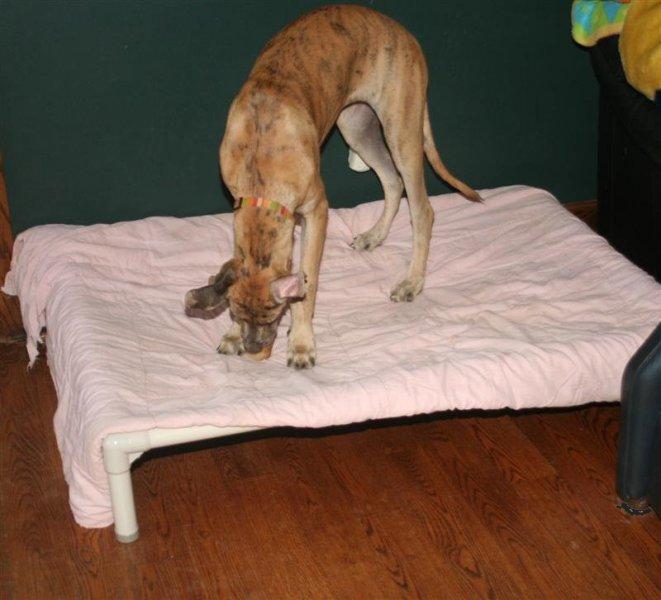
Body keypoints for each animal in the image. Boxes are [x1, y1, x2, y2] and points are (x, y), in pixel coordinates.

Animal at [185, 4, 481, 368]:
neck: (261, 165)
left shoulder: (317, 211)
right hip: (357, 127)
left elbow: (308, 283)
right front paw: (233, 335)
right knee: (392, 181)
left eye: (273, 316)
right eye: (237, 314)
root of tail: (403, 32)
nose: (256, 352)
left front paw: (301, 342)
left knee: (422, 209)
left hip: (402, 133)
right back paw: (375, 235)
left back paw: (412, 281)